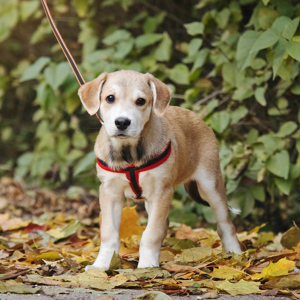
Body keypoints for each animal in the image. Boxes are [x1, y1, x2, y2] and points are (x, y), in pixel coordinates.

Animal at [78, 69, 241, 270]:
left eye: (141, 101)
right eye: (110, 98)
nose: (122, 122)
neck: (130, 153)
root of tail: (194, 116)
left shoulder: (161, 191)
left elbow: (151, 233)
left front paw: (147, 265)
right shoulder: (109, 191)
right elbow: (109, 233)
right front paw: (102, 265)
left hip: (210, 184)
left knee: (225, 224)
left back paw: (237, 256)